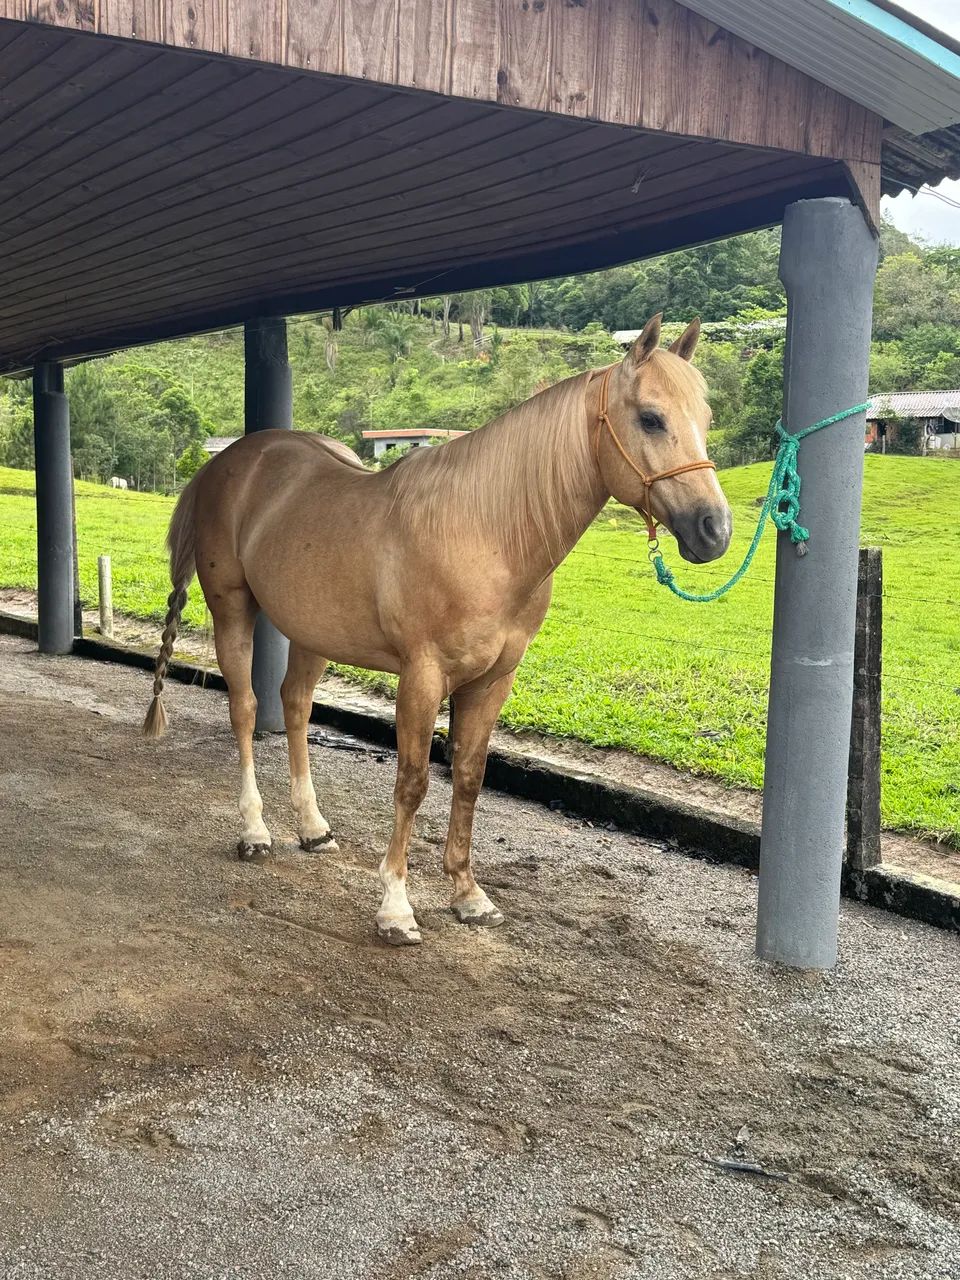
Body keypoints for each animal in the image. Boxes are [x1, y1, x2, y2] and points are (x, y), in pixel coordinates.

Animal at [143, 314, 732, 946]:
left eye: (705, 419)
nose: (714, 530)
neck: (485, 531)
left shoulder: (493, 681)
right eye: (650, 417)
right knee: (247, 709)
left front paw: (468, 894)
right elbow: (413, 781)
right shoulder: (422, 677)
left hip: (312, 632)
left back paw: (313, 827)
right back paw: (254, 831)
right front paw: (396, 907)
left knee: (295, 706)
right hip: (233, 609)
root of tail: (224, 463)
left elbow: (469, 777)